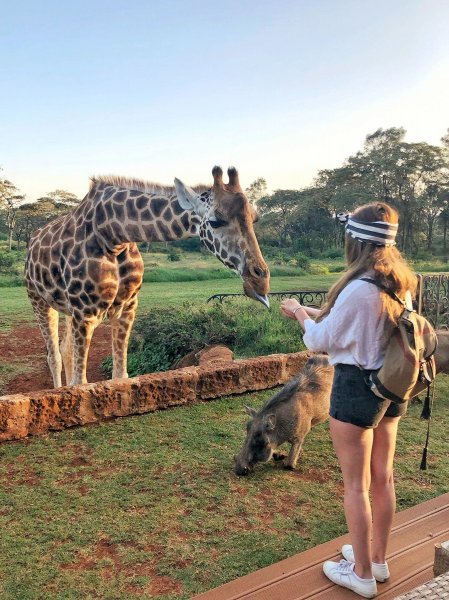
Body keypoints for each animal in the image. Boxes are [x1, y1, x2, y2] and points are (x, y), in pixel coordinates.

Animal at [26, 166, 270, 386]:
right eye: (215, 221)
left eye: (254, 218)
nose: (261, 280)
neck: (114, 236)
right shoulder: (84, 312)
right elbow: (81, 383)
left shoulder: (127, 307)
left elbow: (120, 376)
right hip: (39, 300)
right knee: (54, 356)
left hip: (67, 309)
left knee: (65, 350)